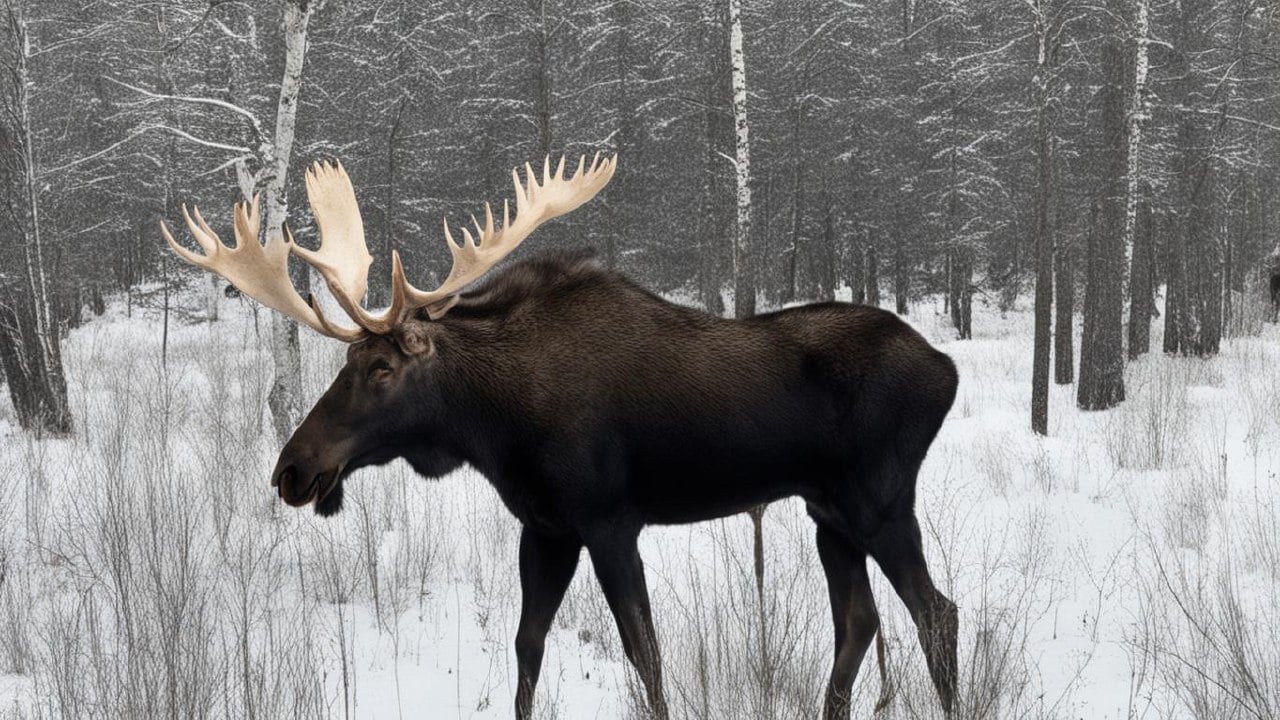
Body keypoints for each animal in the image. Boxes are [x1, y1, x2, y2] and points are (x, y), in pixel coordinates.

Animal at [162, 155, 962, 717]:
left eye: (382, 367)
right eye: (345, 363)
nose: (293, 470)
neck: (492, 424)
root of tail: (946, 369)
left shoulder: (609, 521)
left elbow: (645, 655)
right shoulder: (545, 528)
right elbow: (527, 647)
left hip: (880, 504)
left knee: (937, 614)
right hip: (828, 513)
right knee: (859, 624)